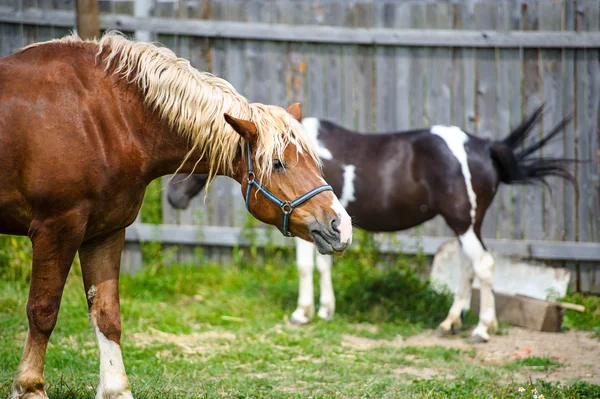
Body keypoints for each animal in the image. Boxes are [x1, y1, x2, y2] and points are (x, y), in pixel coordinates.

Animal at [1, 32, 352, 399]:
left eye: (314, 161)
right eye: (278, 163)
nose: (341, 226)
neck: (103, 119)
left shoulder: (105, 232)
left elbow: (106, 314)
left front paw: (115, 388)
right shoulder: (56, 228)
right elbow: (42, 311)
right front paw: (29, 387)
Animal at [168, 109, 572, 344]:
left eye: (198, 155)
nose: (172, 197)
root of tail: (484, 147)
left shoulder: (305, 222)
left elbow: (305, 266)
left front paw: (303, 313)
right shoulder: (325, 226)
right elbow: (323, 264)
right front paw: (325, 310)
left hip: (465, 222)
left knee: (483, 266)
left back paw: (483, 328)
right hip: (463, 225)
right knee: (467, 268)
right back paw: (450, 323)